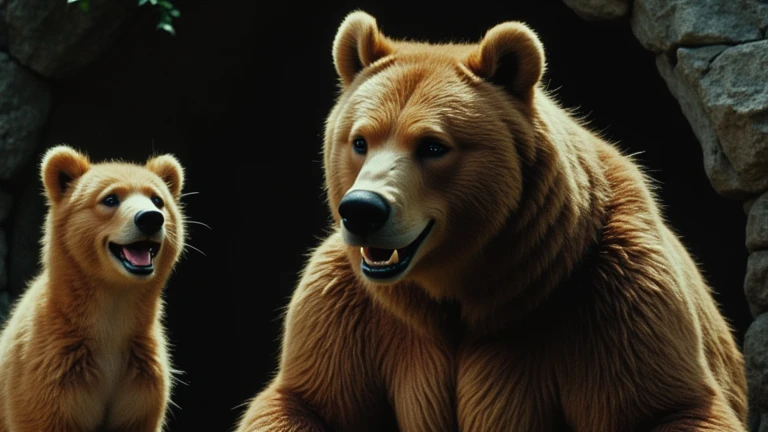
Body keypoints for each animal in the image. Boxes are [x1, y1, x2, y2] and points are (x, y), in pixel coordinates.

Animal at [237, 10, 748, 432]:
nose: (363, 209)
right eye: (360, 140)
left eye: (433, 145)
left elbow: (667, 407)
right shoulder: (352, 309)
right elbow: (305, 401)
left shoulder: (606, 295)